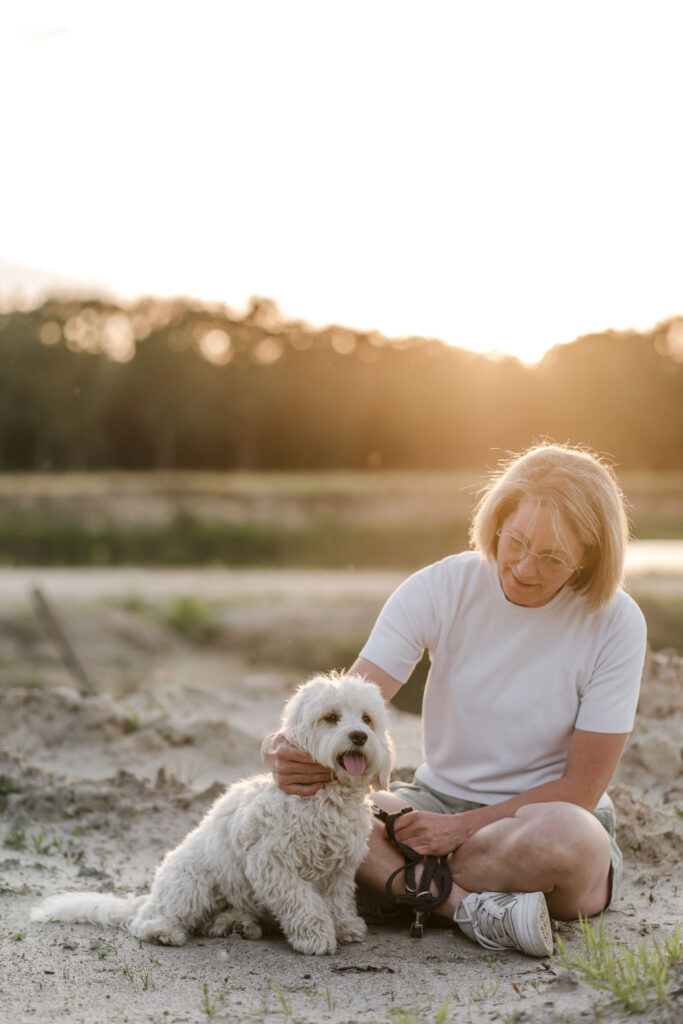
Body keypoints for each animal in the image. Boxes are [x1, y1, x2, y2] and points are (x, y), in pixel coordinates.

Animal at [30, 675, 395, 954]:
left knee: (209, 921)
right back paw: (164, 931)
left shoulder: (340, 867)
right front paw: (316, 936)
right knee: (147, 921)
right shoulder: (272, 864)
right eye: (331, 717)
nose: (359, 736)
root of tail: (151, 898)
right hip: (191, 885)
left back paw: (236, 924)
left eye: (366, 719)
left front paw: (345, 926)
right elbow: (303, 902)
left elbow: (338, 900)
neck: (328, 796)